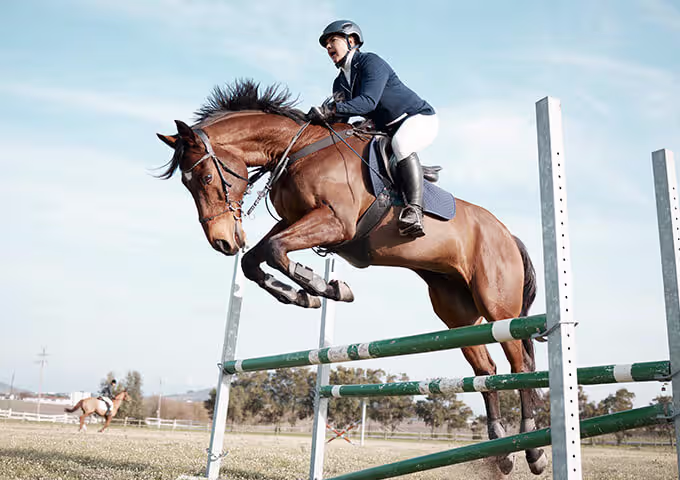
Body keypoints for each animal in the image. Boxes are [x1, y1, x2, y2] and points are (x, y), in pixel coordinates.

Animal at [156, 80, 547, 476]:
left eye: (206, 177)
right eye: (187, 185)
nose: (222, 242)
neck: (299, 149)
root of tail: (507, 234)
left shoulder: (335, 222)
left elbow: (276, 251)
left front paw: (322, 286)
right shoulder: (295, 220)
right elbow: (256, 259)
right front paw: (306, 294)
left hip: (497, 305)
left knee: (520, 365)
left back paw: (534, 451)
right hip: (457, 314)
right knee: (487, 369)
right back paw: (502, 451)